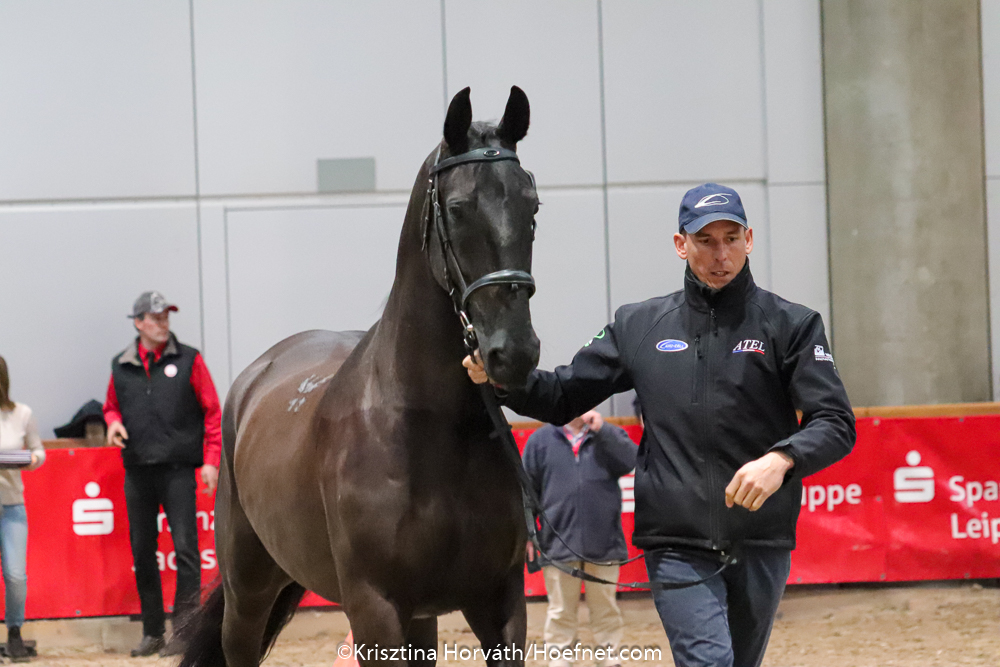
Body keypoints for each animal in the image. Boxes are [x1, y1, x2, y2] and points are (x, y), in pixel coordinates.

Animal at [179, 86, 541, 667]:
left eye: (532, 206)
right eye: (458, 208)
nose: (515, 352)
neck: (426, 428)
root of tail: (254, 378)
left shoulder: (499, 600)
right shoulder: (375, 608)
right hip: (248, 587)